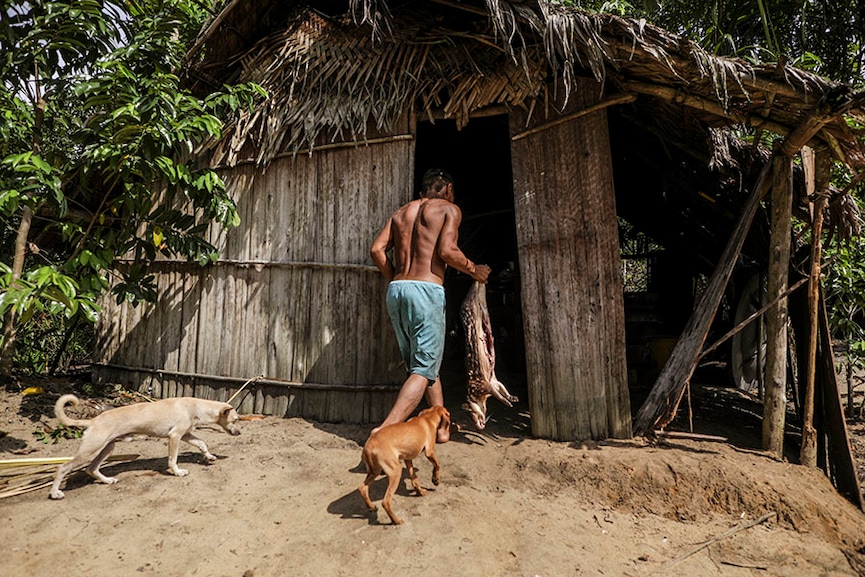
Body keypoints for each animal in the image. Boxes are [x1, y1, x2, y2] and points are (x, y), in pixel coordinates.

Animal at [49, 394, 241, 498]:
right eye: (235, 420)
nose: (239, 432)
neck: (195, 406)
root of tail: (92, 421)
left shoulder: (186, 435)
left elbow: (202, 443)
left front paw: (209, 457)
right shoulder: (175, 436)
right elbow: (173, 459)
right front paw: (177, 472)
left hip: (108, 448)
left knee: (91, 468)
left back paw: (108, 480)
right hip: (89, 450)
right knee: (63, 468)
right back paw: (55, 493)